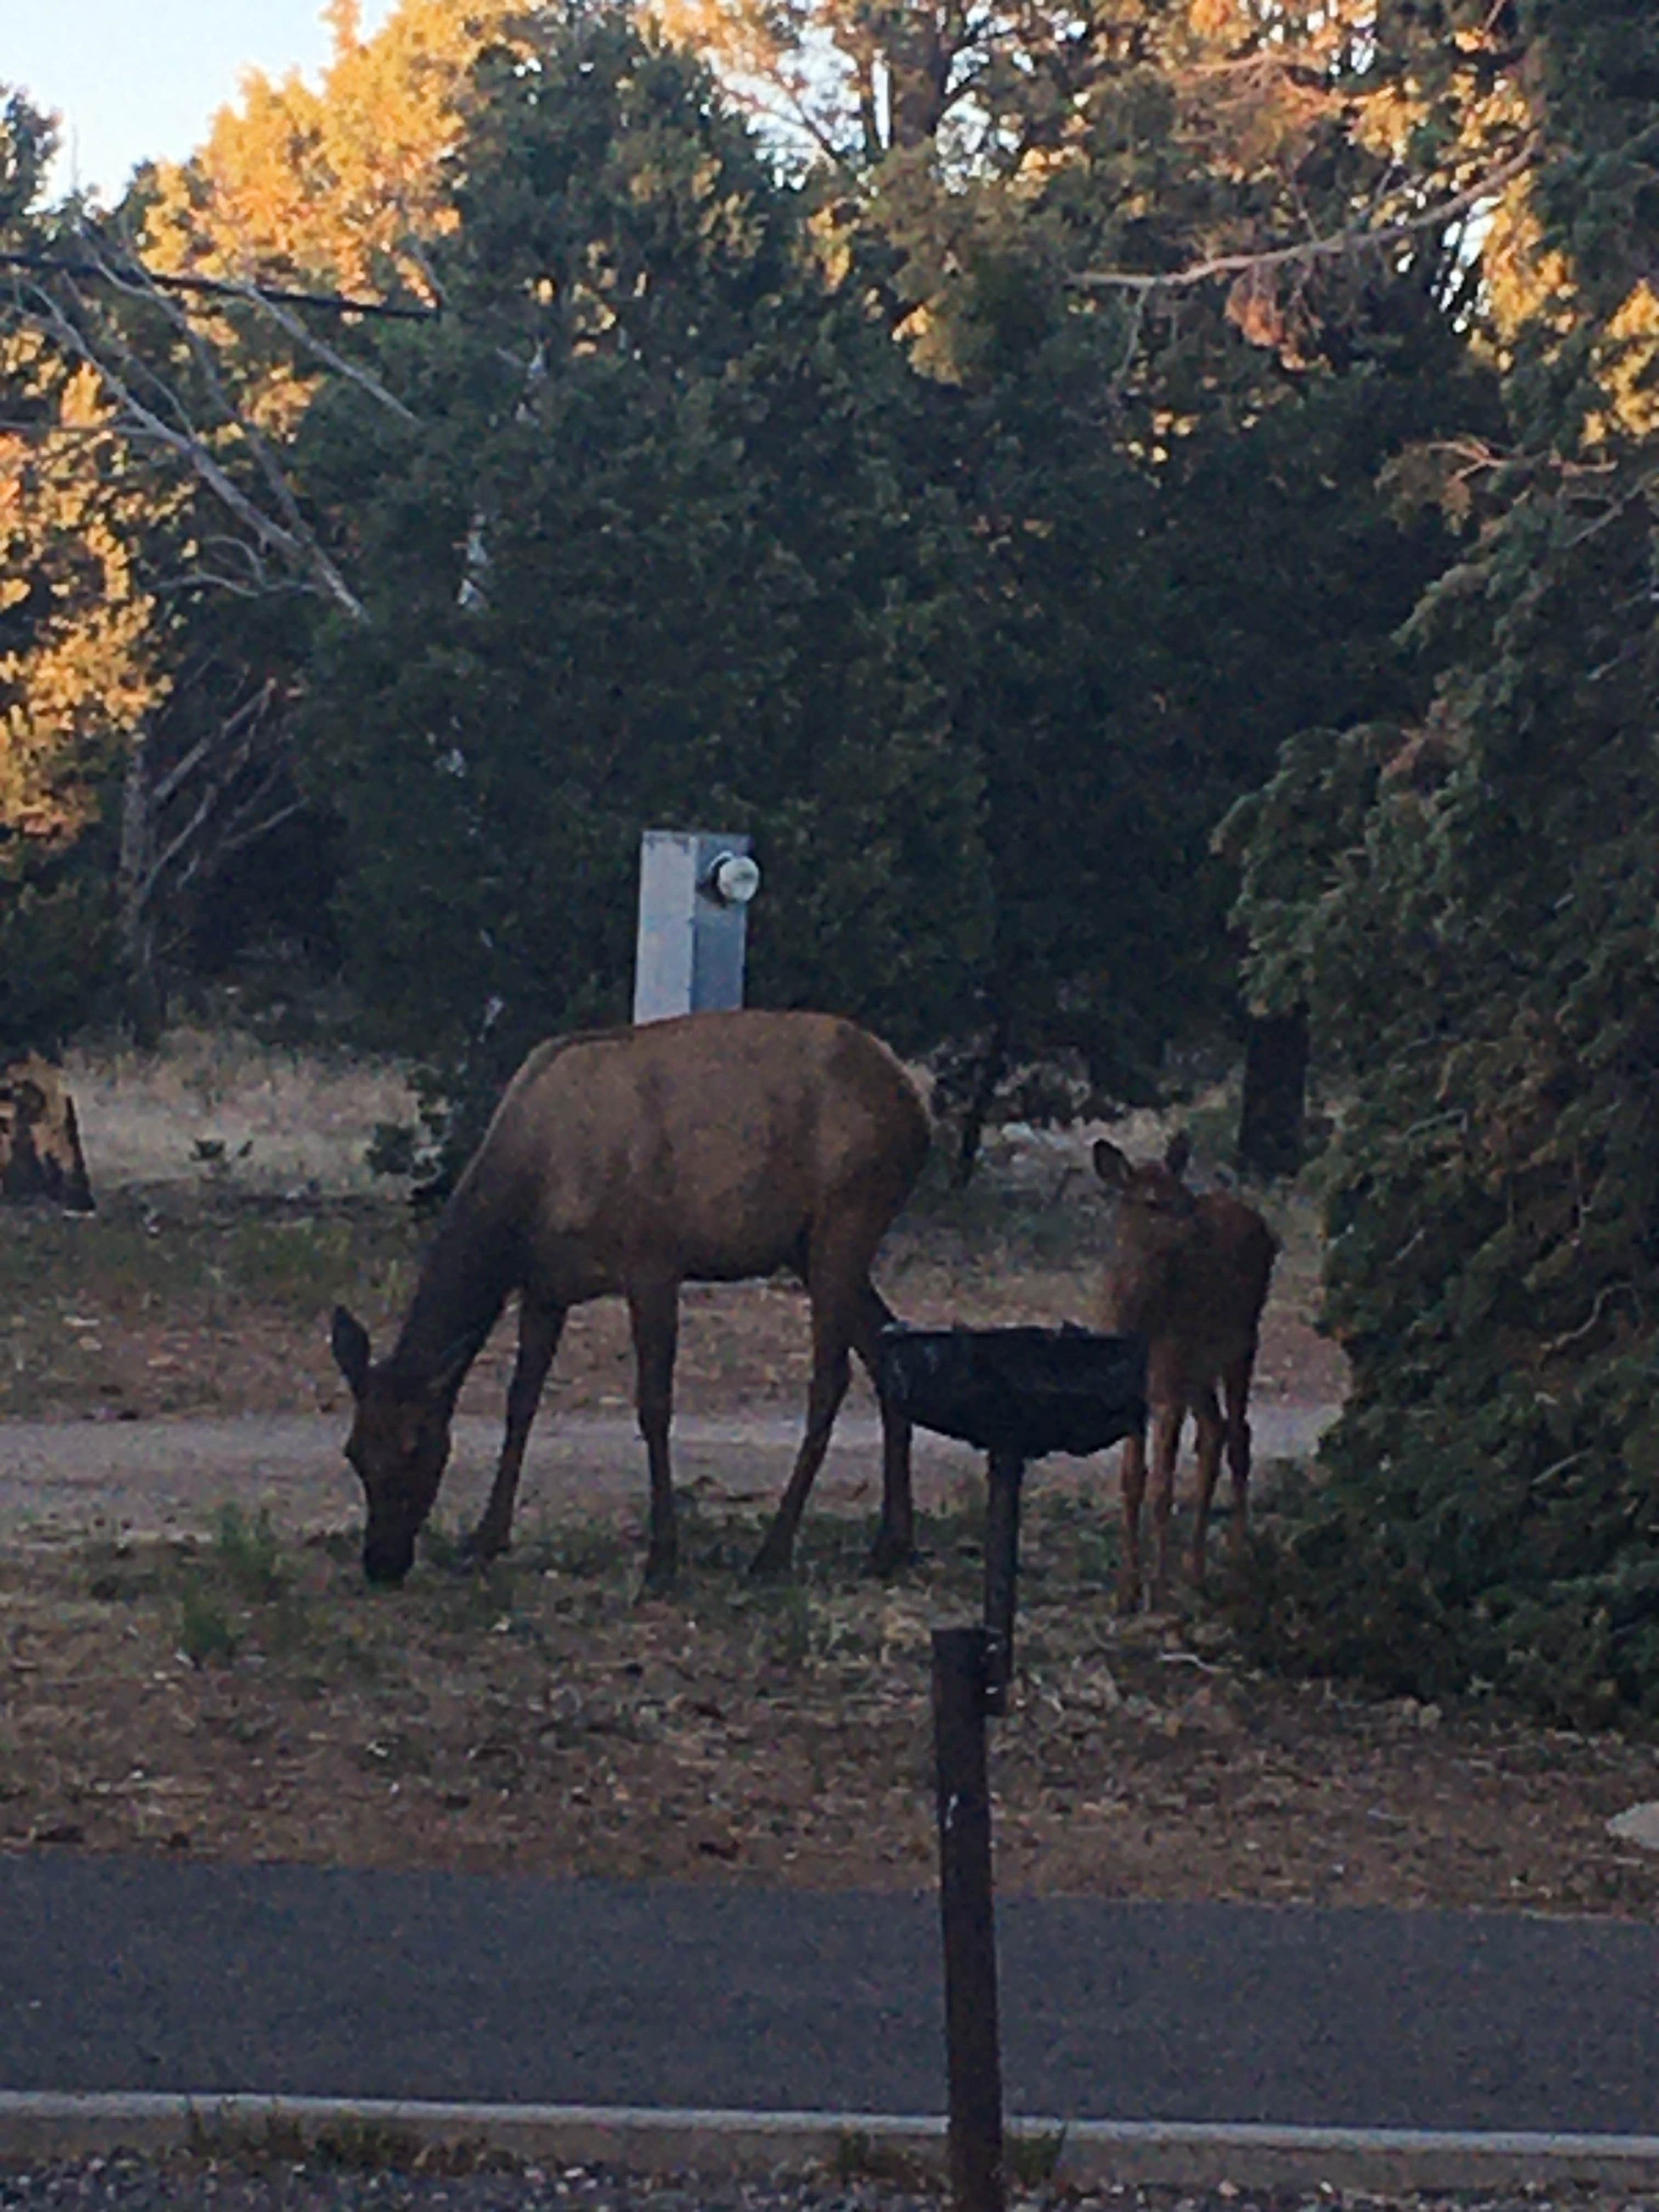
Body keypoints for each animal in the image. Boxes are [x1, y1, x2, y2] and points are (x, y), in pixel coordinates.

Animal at [334, 1013, 938, 1601]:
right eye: (354, 1452)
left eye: (416, 1447)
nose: (381, 1563)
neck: (533, 1190)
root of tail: (915, 1106)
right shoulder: (545, 1287)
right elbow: (521, 1402)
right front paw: (486, 1538)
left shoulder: (653, 1260)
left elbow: (653, 1406)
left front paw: (662, 1560)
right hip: (807, 1246)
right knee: (887, 1351)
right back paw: (891, 1546)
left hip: (847, 1214)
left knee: (831, 1377)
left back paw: (774, 1552)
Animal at [1097, 1132, 1283, 1619]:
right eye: (1152, 1202)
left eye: (1185, 1195)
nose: (1200, 1229)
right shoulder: (1132, 1394)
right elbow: (1132, 1481)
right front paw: (1126, 1591)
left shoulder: (1169, 1387)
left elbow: (1162, 1488)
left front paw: (1158, 1592)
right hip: (1199, 1371)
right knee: (1215, 1433)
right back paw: (1195, 1567)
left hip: (1241, 1343)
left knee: (1239, 1435)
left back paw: (1234, 1555)